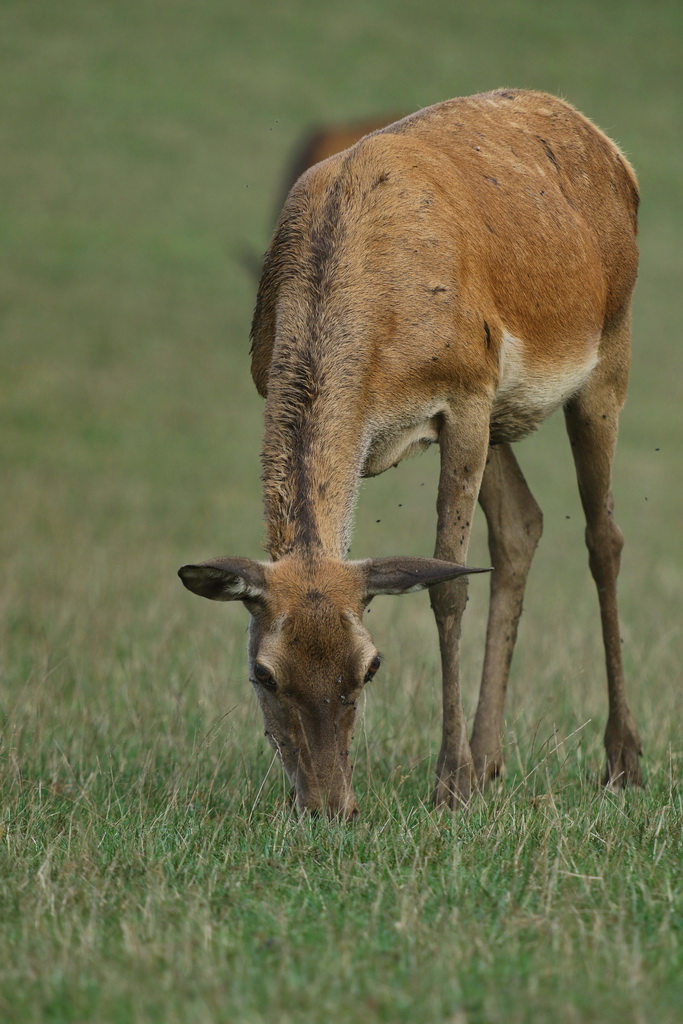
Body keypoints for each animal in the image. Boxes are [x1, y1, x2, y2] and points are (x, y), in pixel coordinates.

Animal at [179, 90, 643, 823]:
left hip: (607, 354)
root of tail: (610, 148)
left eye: (370, 666)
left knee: (604, 537)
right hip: (505, 417)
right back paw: (490, 759)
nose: (327, 806)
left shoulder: (466, 393)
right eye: (264, 672)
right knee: (522, 525)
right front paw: (464, 772)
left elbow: (448, 583)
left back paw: (620, 761)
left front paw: (448, 784)